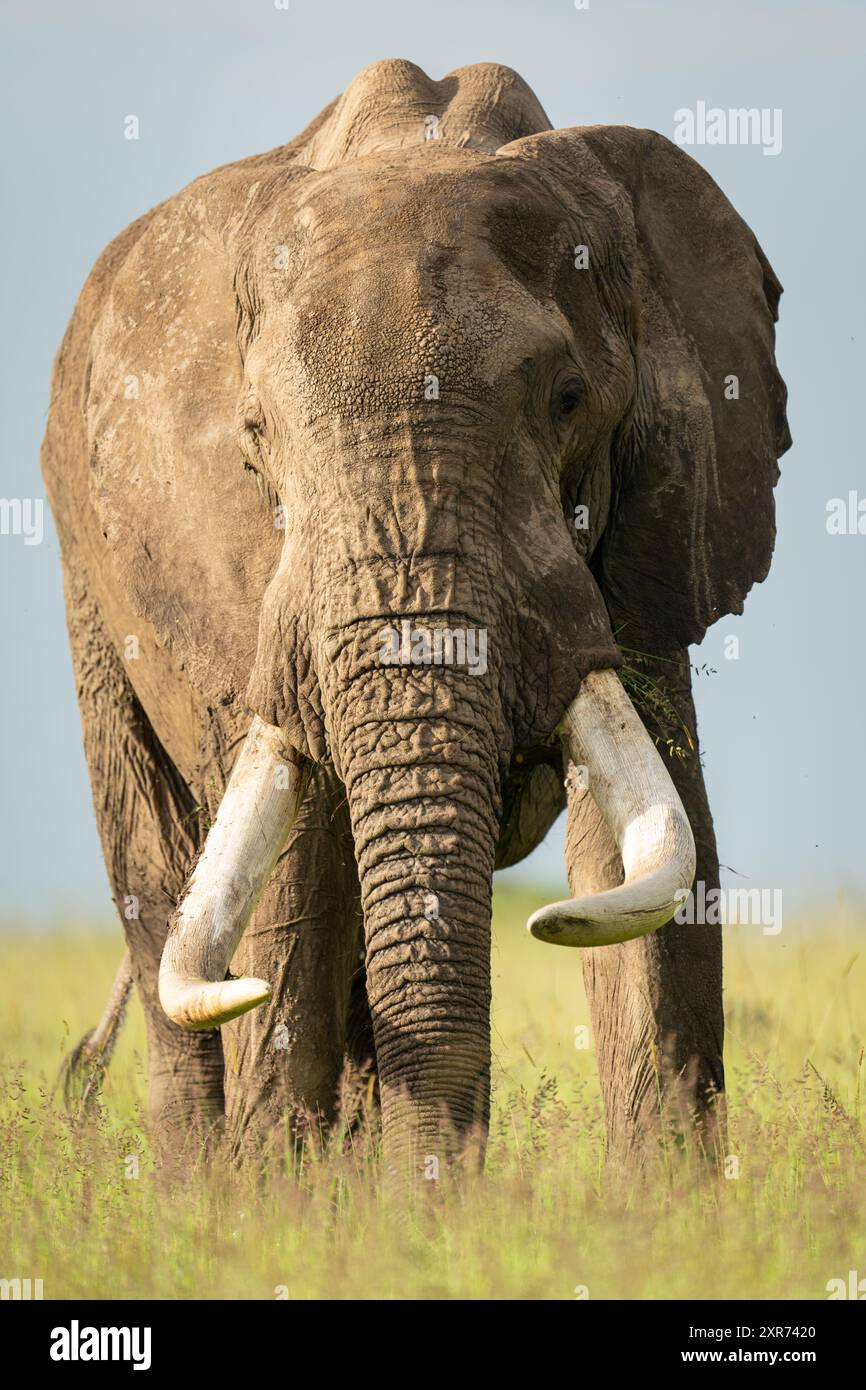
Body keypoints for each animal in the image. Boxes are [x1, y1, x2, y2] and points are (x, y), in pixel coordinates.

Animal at [42, 59, 789, 1176]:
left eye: (568, 399)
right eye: (256, 435)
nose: (441, 1188)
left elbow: (648, 847)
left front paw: (661, 1203)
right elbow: (293, 881)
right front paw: (284, 1202)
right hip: (86, 576)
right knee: (162, 880)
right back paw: (197, 1189)